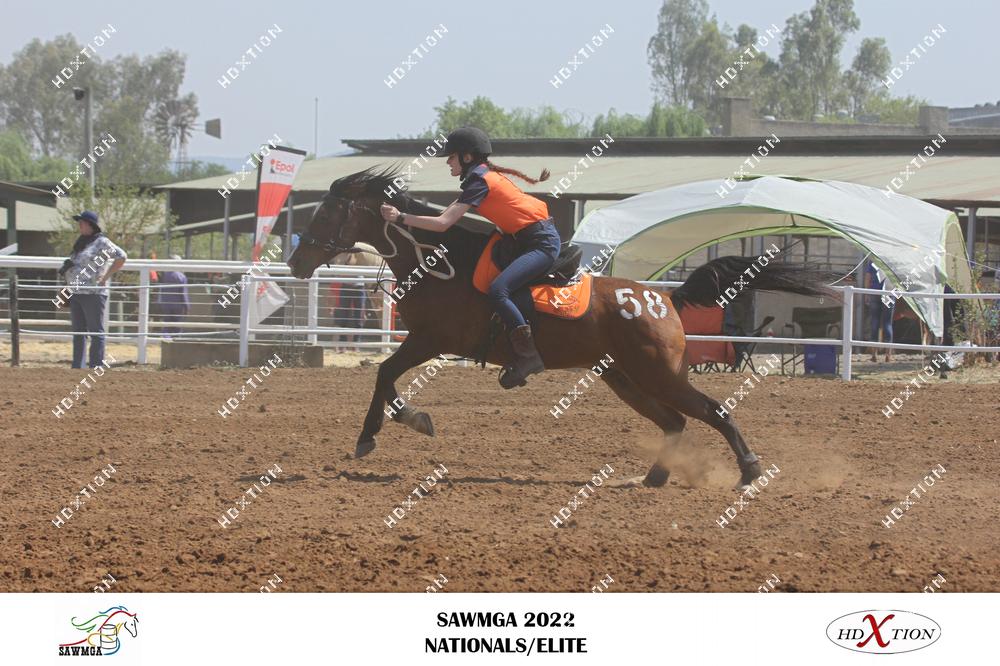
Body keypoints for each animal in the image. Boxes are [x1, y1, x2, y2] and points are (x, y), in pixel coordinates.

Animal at [288, 167, 832, 487]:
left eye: (330, 209)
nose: (295, 261)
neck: (441, 262)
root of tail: (664, 297)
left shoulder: (431, 340)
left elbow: (385, 374)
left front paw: (387, 430)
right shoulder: (425, 341)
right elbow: (386, 377)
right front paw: (396, 425)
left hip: (656, 374)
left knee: (713, 411)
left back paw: (749, 469)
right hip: (625, 378)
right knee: (676, 422)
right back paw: (654, 478)